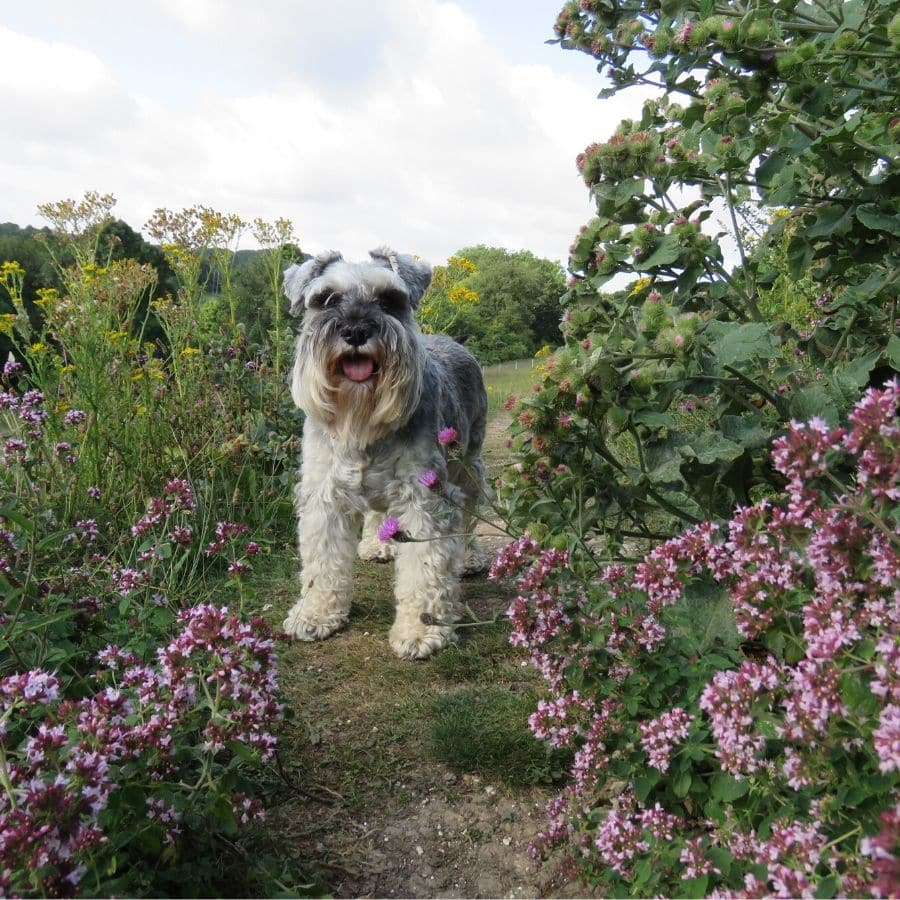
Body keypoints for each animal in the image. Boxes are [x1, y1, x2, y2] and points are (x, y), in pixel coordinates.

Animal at [284, 246, 488, 660]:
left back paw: (471, 556)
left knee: (470, 516)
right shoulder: (324, 495)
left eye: (389, 300)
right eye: (325, 299)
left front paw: (421, 630)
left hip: (469, 466)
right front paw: (315, 613)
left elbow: (426, 567)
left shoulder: (424, 495)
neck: (362, 420)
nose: (356, 331)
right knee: (378, 511)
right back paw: (376, 544)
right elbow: (321, 561)